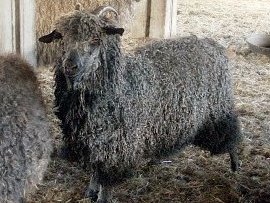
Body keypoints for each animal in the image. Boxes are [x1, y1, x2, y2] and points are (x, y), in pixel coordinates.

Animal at [39, 5, 243, 202]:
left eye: (96, 39)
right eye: (61, 37)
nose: (70, 66)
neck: (121, 87)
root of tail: (212, 45)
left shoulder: (117, 147)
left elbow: (107, 180)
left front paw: (102, 197)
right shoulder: (94, 144)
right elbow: (96, 170)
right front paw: (90, 191)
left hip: (218, 111)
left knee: (231, 133)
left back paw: (236, 166)